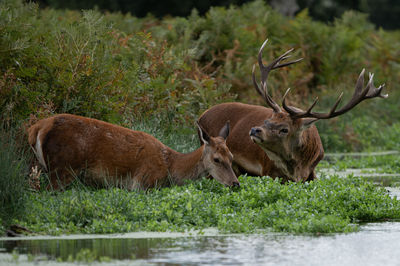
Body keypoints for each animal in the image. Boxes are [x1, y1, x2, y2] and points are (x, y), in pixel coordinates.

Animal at [28, 113, 241, 190]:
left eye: (231, 157)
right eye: (216, 159)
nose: (235, 183)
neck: (171, 166)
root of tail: (37, 129)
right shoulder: (143, 183)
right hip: (63, 167)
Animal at [198, 39, 386, 182]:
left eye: (284, 129)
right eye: (267, 121)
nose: (254, 130)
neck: (298, 167)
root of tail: (201, 116)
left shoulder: (312, 173)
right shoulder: (267, 170)